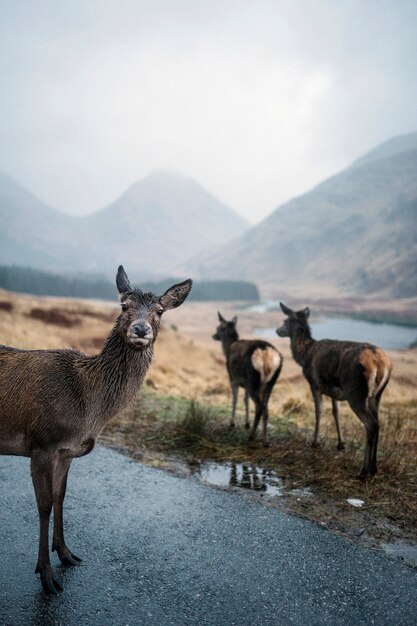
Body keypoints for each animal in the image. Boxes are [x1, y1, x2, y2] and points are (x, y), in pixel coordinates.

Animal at [0, 266, 192, 592]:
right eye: (124, 306)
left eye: (160, 311)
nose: (141, 329)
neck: (88, 410)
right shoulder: (42, 444)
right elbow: (43, 506)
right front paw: (46, 575)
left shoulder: (66, 451)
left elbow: (60, 497)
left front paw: (66, 553)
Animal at [211, 312, 282, 444]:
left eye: (218, 328)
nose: (214, 336)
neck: (228, 349)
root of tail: (266, 353)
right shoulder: (245, 383)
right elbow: (246, 400)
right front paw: (247, 424)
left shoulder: (233, 378)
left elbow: (235, 399)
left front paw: (232, 424)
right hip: (269, 382)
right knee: (266, 408)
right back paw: (265, 440)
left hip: (253, 379)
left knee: (259, 407)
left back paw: (252, 436)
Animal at [276, 302, 390, 478]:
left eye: (285, 320)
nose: (277, 330)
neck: (304, 355)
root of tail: (380, 363)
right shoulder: (334, 391)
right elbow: (336, 413)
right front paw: (341, 443)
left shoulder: (315, 384)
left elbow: (319, 411)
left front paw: (315, 442)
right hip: (376, 395)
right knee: (378, 423)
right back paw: (374, 468)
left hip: (355, 392)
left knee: (370, 424)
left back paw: (364, 471)